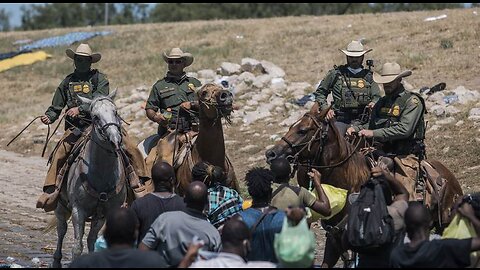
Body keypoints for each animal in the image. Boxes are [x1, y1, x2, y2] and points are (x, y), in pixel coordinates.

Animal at [264, 103, 464, 268]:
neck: (347, 183)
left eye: (303, 130)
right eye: (292, 126)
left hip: (444, 224)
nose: (271, 153)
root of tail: (448, 176)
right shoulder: (334, 241)